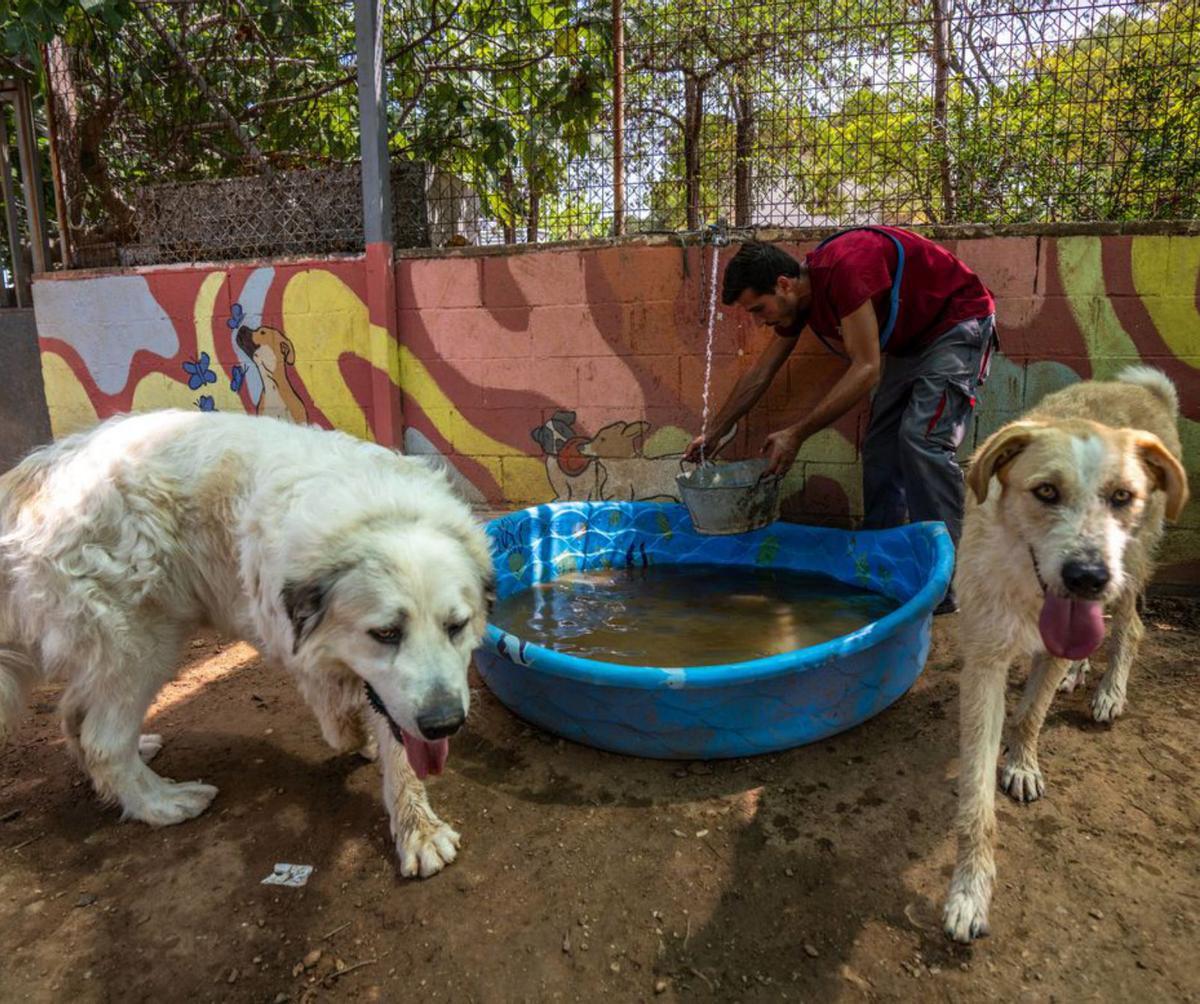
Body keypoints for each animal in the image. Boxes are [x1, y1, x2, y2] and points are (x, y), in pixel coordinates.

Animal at [1, 410, 492, 873]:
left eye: (456, 626)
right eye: (386, 634)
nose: (446, 724)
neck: (376, 513)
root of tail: (31, 478)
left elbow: (398, 747)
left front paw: (418, 830)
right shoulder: (301, 646)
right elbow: (346, 718)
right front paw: (353, 736)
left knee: (75, 715)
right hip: (143, 644)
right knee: (103, 741)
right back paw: (160, 803)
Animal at [945, 367, 1190, 940]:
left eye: (1122, 495)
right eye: (1046, 491)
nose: (1086, 577)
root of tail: (1143, 390)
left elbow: (1032, 714)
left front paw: (1022, 764)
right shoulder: (984, 662)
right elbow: (976, 799)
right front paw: (970, 892)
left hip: (1130, 569)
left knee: (1132, 629)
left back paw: (1109, 693)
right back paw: (1081, 671)